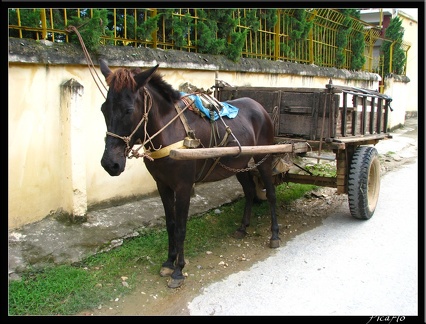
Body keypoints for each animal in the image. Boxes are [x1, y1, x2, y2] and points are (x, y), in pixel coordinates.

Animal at [99, 59, 280, 288]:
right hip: (239, 163)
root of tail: (260, 107)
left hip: (264, 157)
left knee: (271, 194)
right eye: (103, 109)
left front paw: (179, 270)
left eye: (129, 110)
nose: (110, 164)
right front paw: (169, 262)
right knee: (249, 191)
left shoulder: (184, 186)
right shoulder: (163, 185)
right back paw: (243, 228)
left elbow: (181, 228)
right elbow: (170, 224)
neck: (170, 133)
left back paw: (275, 234)